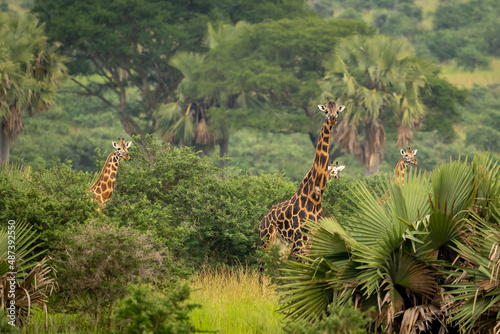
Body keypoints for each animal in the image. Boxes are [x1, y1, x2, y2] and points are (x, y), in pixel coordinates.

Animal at [258, 98, 344, 260]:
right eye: (325, 111)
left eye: (337, 111)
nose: (332, 119)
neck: (315, 198)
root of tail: (262, 220)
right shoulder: (299, 241)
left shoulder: (312, 239)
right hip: (266, 241)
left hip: (283, 246)